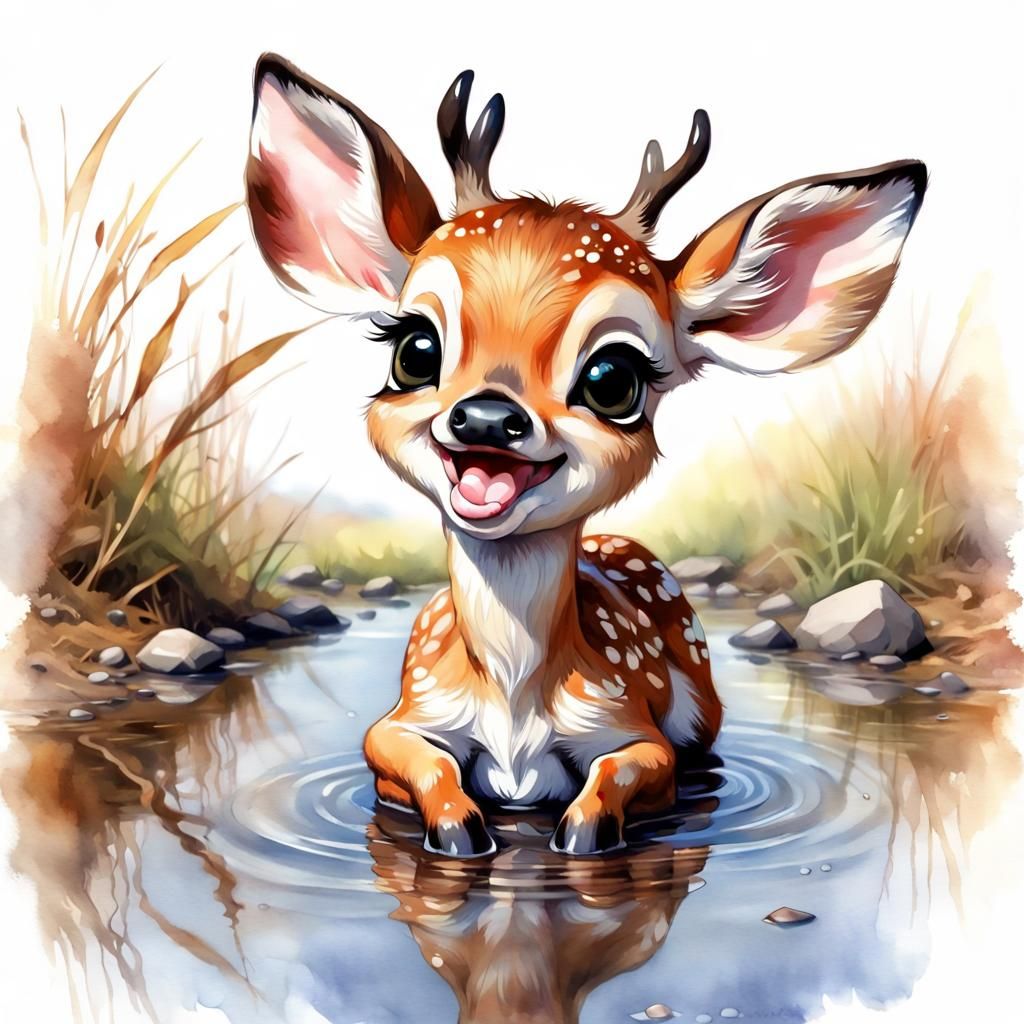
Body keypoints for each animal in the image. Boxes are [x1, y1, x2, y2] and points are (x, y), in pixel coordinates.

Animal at [245, 54, 926, 858]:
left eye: (613, 379)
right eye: (414, 348)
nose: (487, 416)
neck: (513, 703)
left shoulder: (638, 734)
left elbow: (614, 783)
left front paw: (578, 834)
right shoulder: (397, 725)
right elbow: (422, 766)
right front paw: (461, 832)